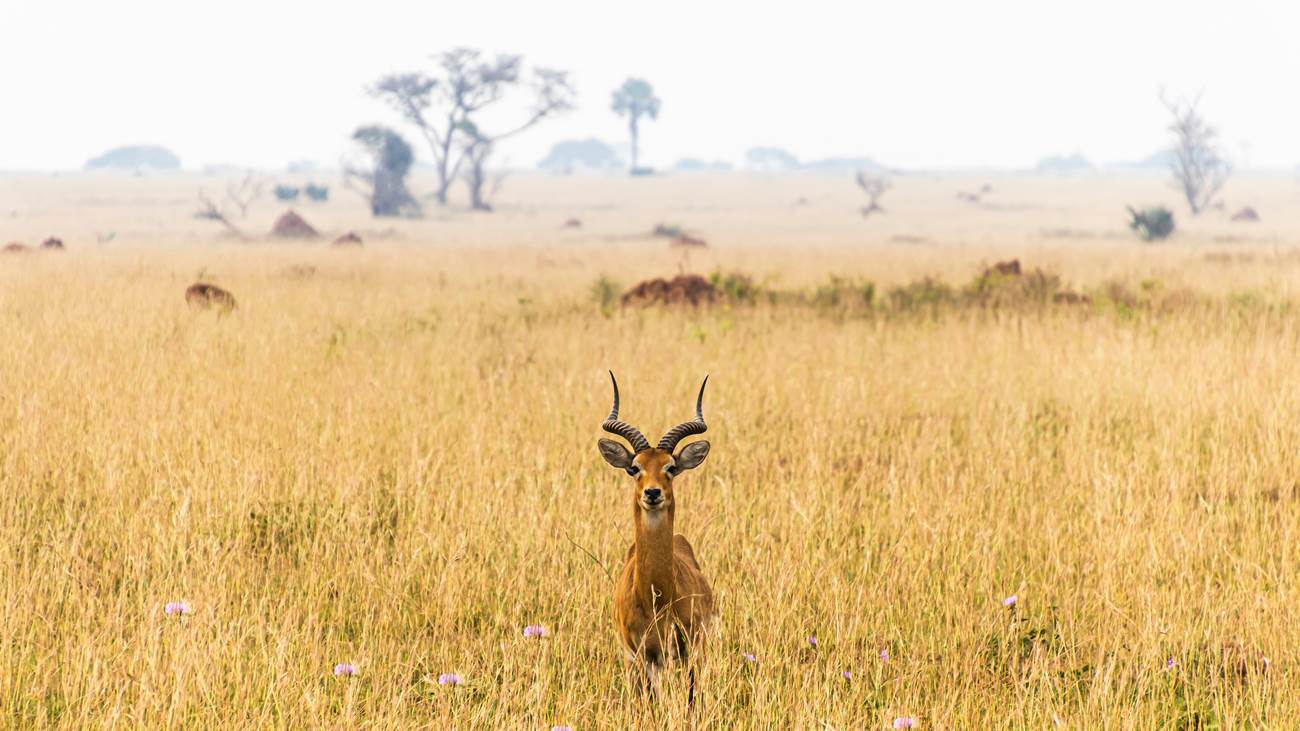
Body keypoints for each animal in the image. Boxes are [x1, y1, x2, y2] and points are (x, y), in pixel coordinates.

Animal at [595, 369, 717, 702]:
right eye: (634, 467)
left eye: (671, 467)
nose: (652, 493)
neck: (656, 599)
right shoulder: (640, 656)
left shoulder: (690, 651)